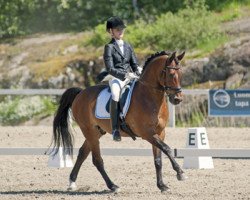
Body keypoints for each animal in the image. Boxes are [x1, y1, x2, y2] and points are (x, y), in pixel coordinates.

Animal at [52, 50, 186, 193]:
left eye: (181, 74)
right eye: (171, 74)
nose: (177, 99)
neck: (149, 97)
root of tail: (80, 92)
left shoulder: (160, 133)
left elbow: (158, 159)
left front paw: (162, 185)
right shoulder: (147, 133)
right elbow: (167, 149)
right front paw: (180, 173)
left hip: (96, 132)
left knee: (83, 153)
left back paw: (72, 182)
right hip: (89, 131)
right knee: (97, 160)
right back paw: (113, 186)